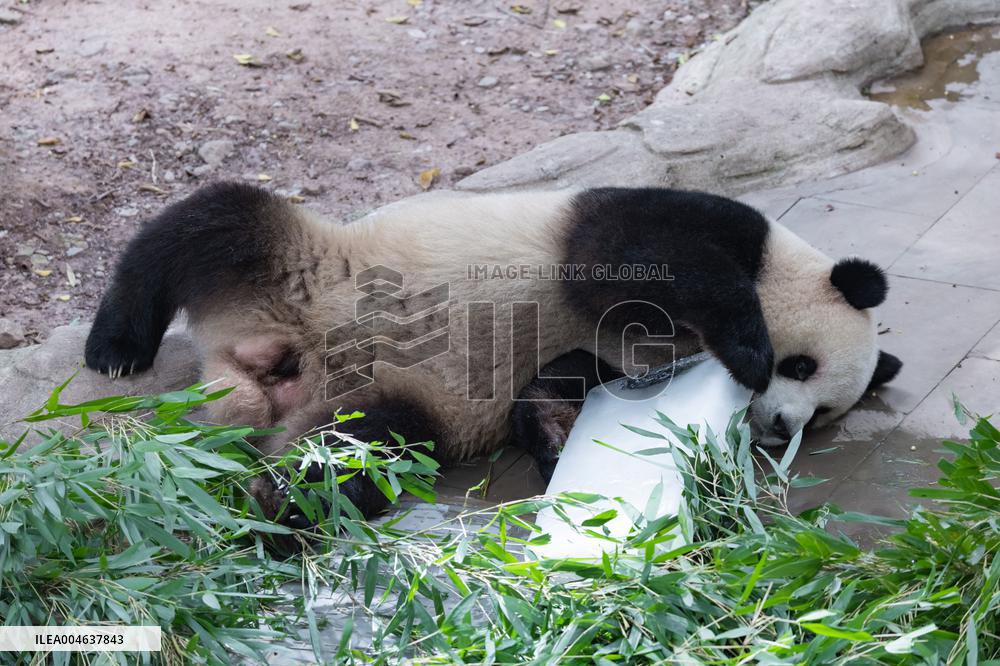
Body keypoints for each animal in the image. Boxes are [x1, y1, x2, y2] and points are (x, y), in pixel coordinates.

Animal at [84, 182, 902, 521]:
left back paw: (284, 503)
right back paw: (115, 345)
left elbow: (557, 384)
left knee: (359, 447)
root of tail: (258, 366)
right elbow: (639, 258)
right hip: (303, 264)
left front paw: (558, 442)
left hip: (379, 401)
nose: (778, 425)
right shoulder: (670, 234)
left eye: (821, 414)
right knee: (207, 226)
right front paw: (749, 349)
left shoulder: (606, 355)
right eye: (802, 367)